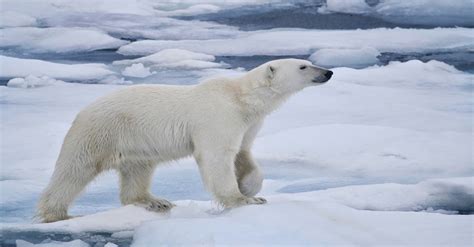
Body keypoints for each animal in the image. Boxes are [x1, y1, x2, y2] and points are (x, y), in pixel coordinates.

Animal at [37, 58, 332, 223]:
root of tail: (83, 110)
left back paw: (154, 201)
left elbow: (243, 153)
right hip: (100, 132)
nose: (328, 72)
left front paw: (250, 188)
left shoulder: (247, 123)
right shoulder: (218, 115)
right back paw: (57, 213)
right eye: (304, 66)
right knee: (75, 169)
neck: (242, 98)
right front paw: (242, 200)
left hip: (135, 143)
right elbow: (217, 156)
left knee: (138, 170)